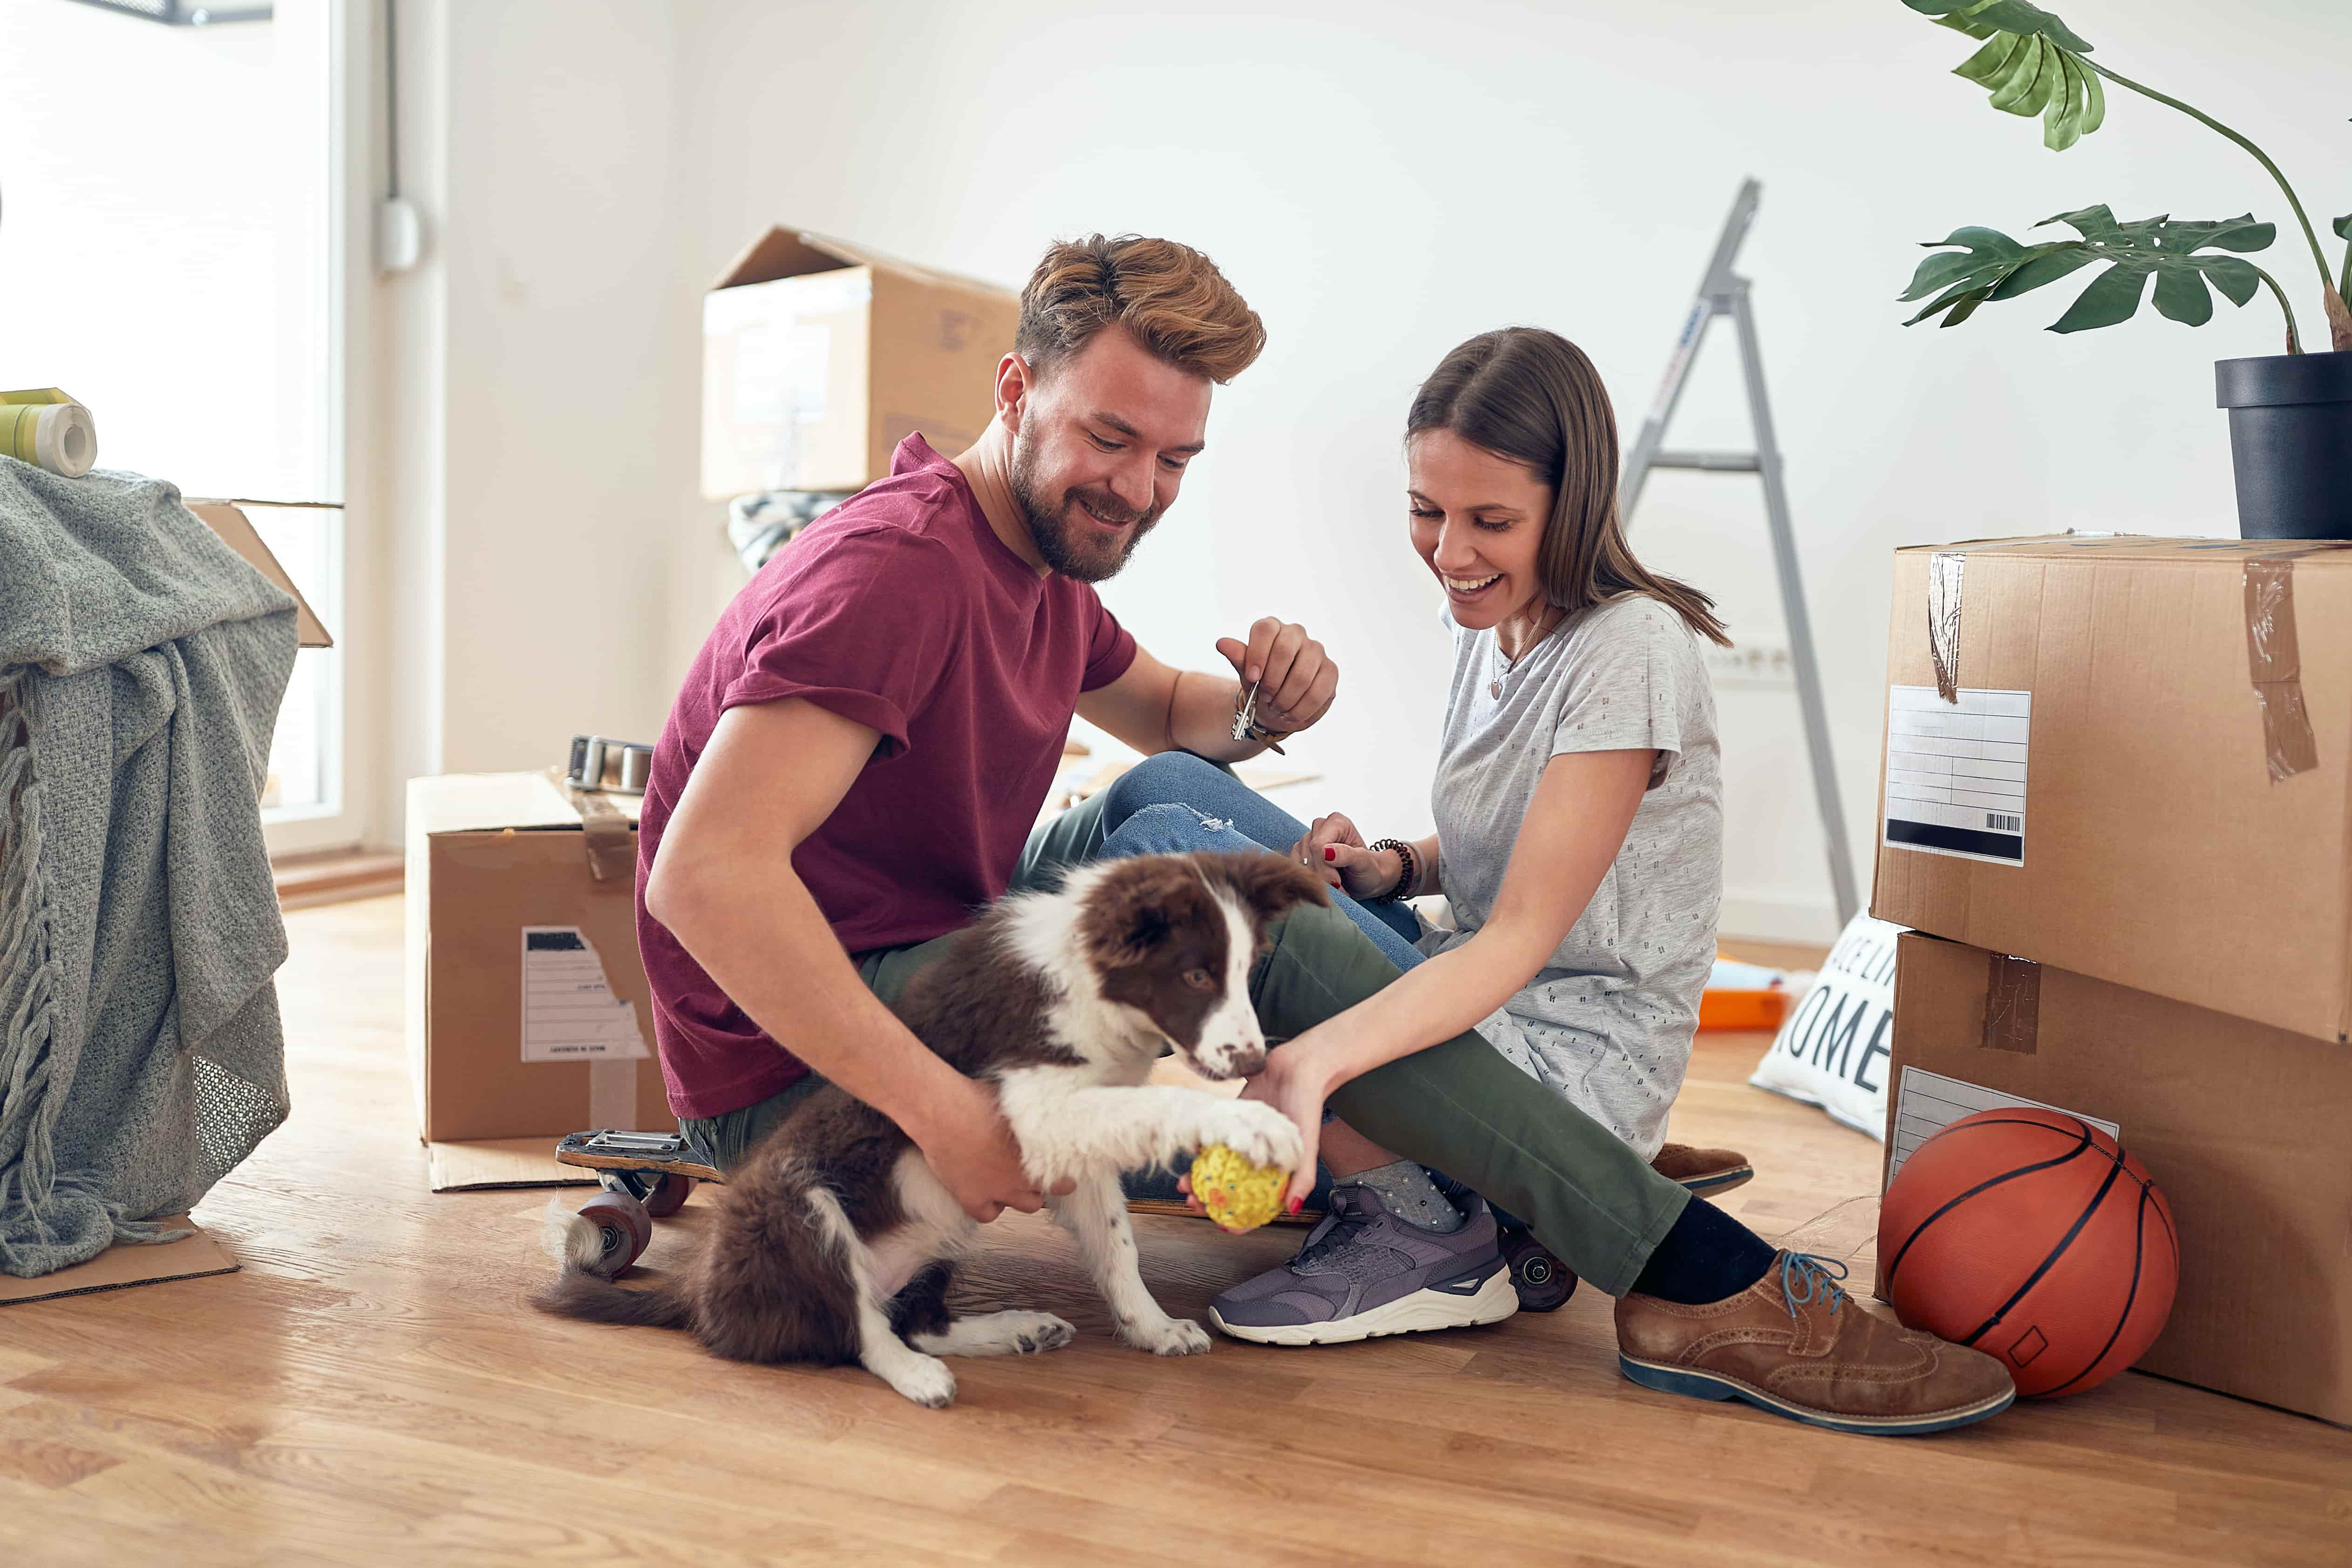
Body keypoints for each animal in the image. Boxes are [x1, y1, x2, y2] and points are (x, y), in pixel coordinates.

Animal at [538, 860, 1336, 1410]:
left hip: (936, 1231)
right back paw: (919, 1376)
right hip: (799, 1204)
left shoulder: (1073, 1154)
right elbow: (1166, 1103)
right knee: (860, 1331)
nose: (1257, 1062)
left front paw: (1154, 1327)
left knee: (909, 1319)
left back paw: (1014, 1329)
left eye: (1245, 970)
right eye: (1195, 974)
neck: (1087, 979)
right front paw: (1255, 1121)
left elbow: (1117, 1245)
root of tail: (698, 1292)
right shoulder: (1040, 1107)